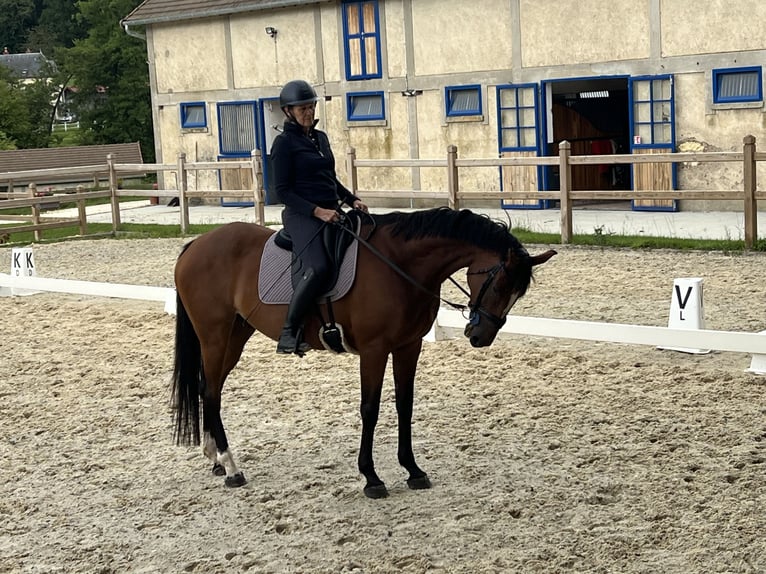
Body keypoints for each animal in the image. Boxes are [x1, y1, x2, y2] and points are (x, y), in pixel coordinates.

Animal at [172, 207, 560, 500]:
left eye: (517, 293)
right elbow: (370, 409)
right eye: (500, 284)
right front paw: (371, 478)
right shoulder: (374, 350)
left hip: (235, 335)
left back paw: (216, 458)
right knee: (211, 392)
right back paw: (231, 467)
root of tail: (196, 244)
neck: (400, 265)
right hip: (215, 335)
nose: (480, 336)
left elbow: (405, 404)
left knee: (210, 389)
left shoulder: (408, 346)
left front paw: (413, 470)